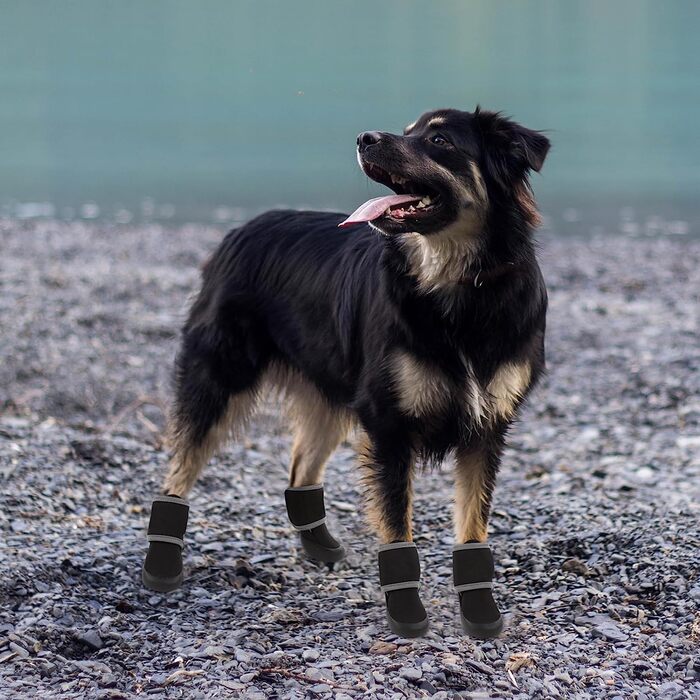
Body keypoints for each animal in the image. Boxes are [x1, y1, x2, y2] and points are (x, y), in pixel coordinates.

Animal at [141, 106, 548, 636]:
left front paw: (480, 611)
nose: (363, 137)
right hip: (220, 376)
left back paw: (319, 547)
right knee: (179, 469)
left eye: (439, 140)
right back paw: (161, 565)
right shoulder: (389, 424)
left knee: (299, 471)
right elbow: (397, 525)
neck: (456, 284)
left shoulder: (487, 425)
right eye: (409, 129)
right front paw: (406, 613)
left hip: (330, 395)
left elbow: (472, 526)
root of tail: (244, 227)